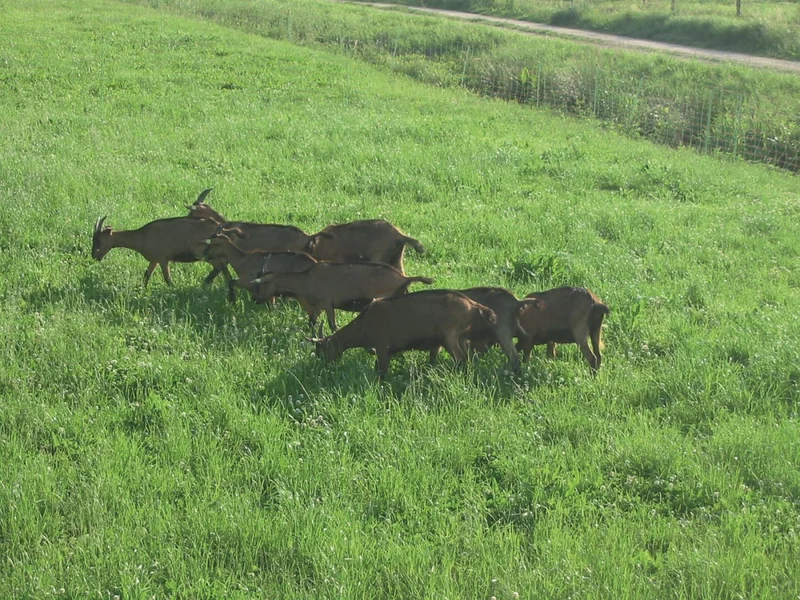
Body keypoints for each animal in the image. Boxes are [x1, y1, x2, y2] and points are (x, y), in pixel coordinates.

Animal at [92, 205, 232, 287]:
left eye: (98, 241)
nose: (94, 256)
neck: (142, 236)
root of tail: (220, 227)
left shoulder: (163, 258)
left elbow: (167, 279)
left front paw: (173, 290)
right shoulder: (154, 259)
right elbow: (146, 274)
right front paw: (142, 289)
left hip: (204, 253)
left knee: (220, 266)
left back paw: (207, 282)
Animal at [251, 262, 434, 335]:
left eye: (261, 285)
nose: (255, 299)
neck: (306, 279)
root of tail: (404, 278)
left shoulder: (327, 304)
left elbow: (333, 325)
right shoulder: (317, 307)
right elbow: (311, 322)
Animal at [311, 290, 498, 377]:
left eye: (322, 351)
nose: (322, 367)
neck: (364, 323)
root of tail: (473, 305)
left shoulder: (382, 346)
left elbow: (382, 371)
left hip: (450, 337)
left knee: (461, 359)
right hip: (460, 337)